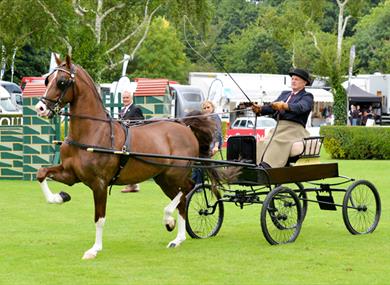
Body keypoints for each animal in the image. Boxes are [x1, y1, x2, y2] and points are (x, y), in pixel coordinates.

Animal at [35, 55, 218, 258]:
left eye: (62, 82)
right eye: (47, 80)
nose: (40, 108)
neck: (92, 132)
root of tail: (185, 127)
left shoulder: (99, 183)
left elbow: (99, 218)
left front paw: (94, 249)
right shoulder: (71, 175)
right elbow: (41, 173)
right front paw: (60, 197)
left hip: (175, 174)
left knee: (188, 189)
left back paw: (169, 221)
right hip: (163, 178)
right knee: (183, 199)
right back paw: (177, 238)